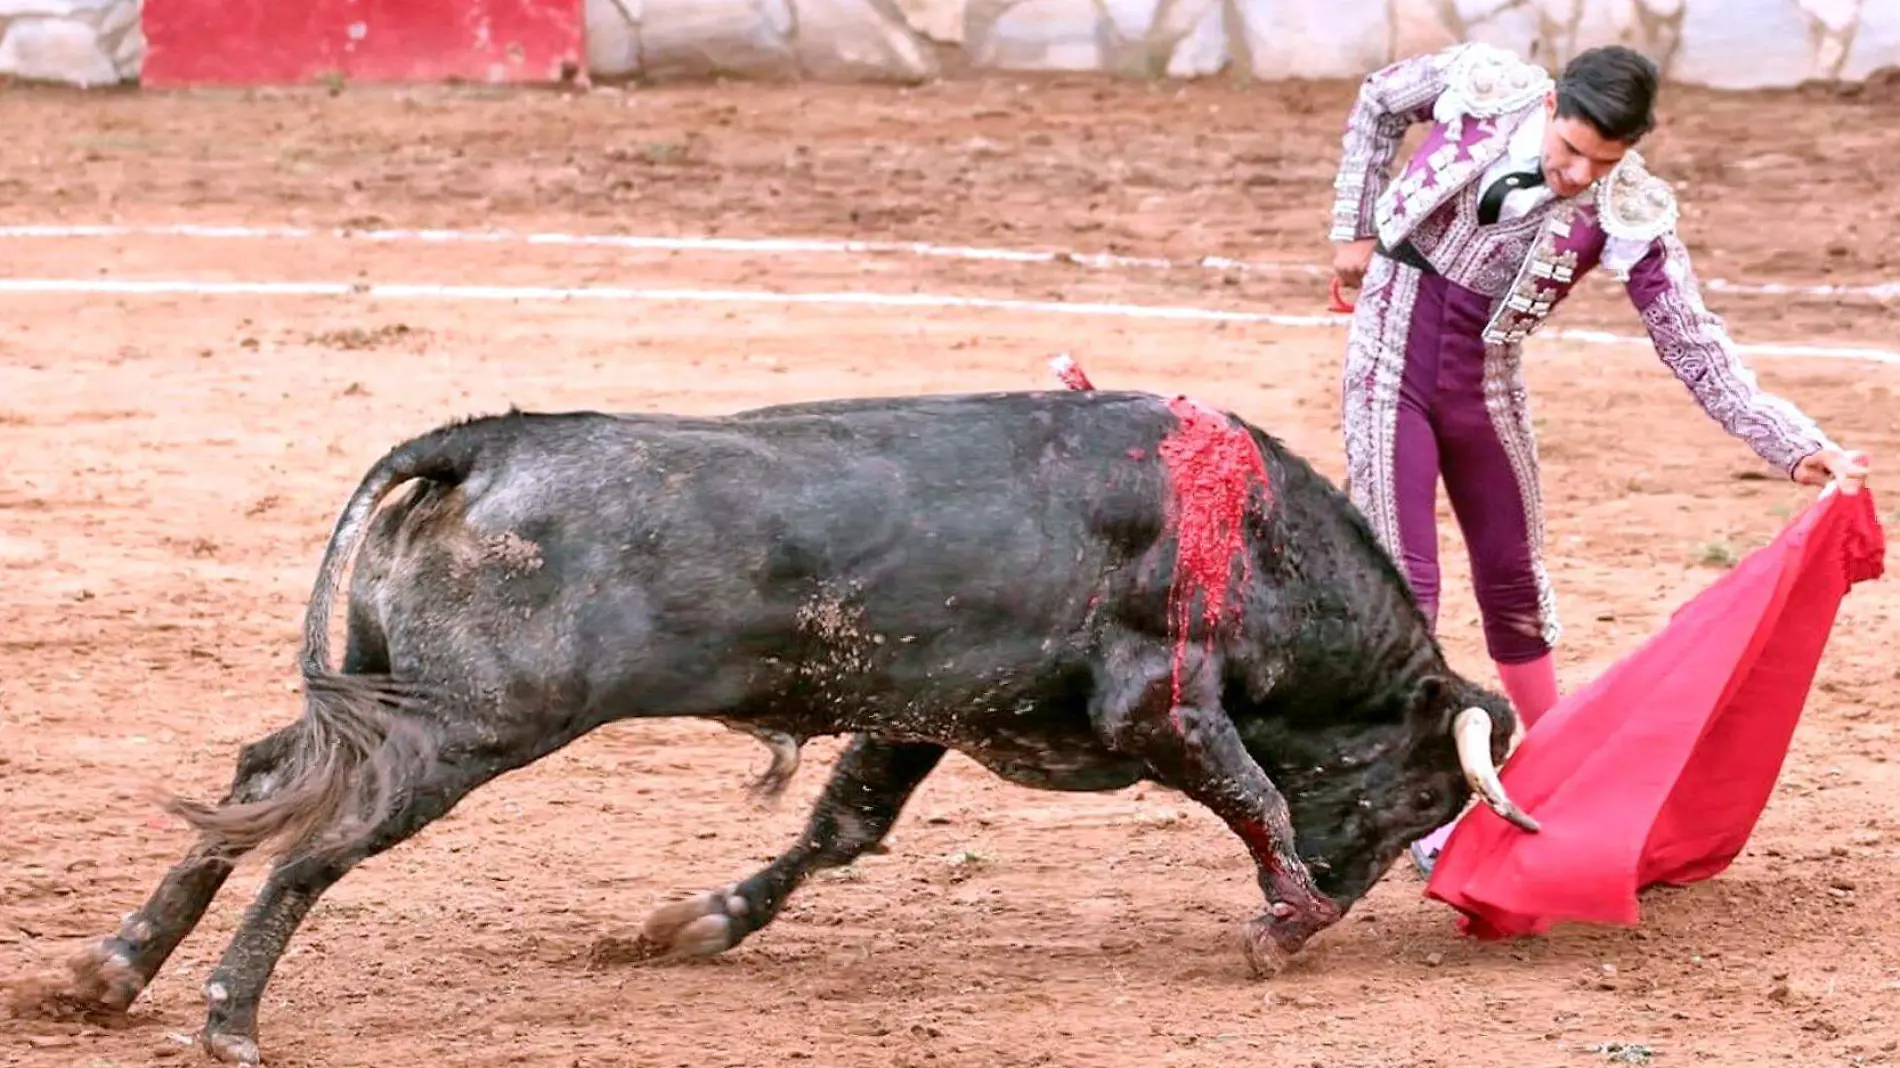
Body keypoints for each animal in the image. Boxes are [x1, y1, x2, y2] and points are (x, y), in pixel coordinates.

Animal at [66, 385, 1535, 1056]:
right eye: (1420, 793)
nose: (1346, 898)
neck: (1255, 536)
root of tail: (490, 437)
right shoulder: (1161, 703)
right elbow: (1259, 795)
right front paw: (1279, 926)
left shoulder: (928, 712)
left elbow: (844, 828)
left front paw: (700, 922)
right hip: (466, 726)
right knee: (316, 843)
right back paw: (226, 1012)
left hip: (390, 697)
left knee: (261, 777)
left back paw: (114, 966)